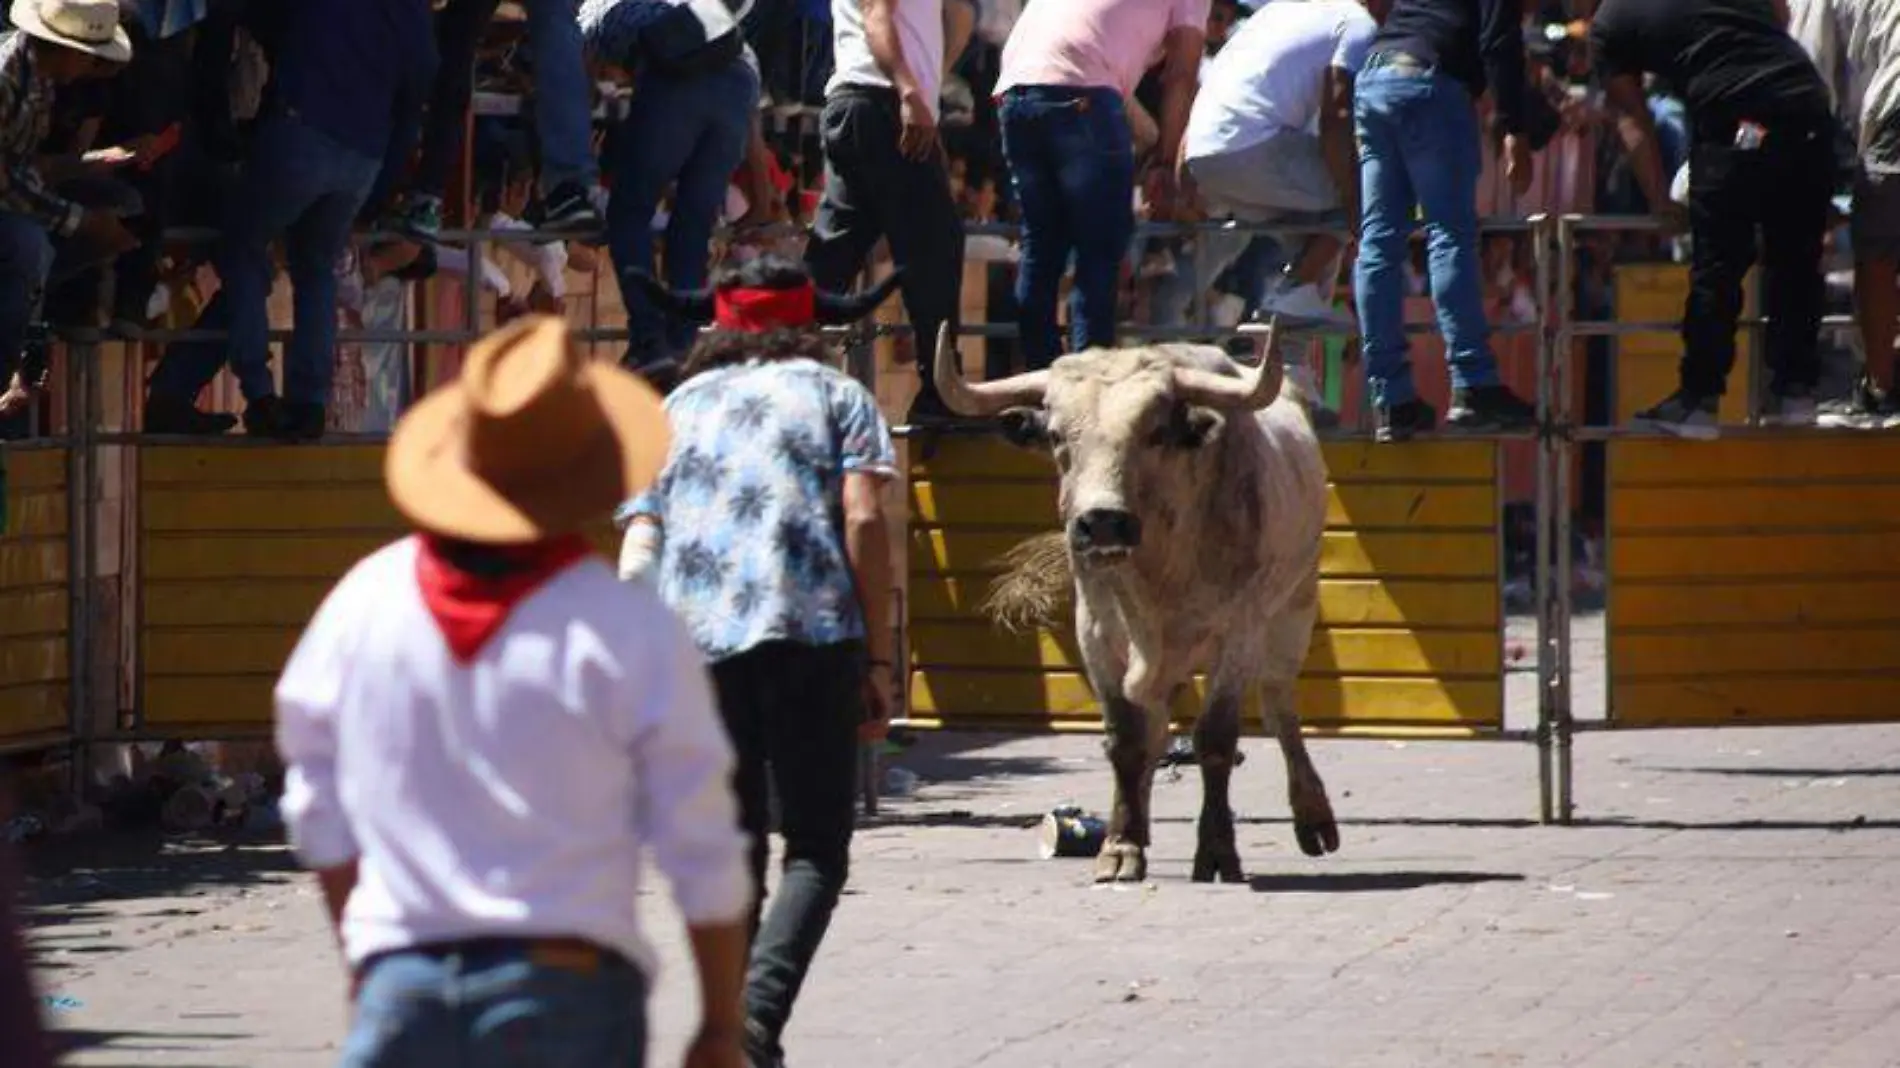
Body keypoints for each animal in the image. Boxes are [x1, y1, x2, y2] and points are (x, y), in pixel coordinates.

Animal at [934, 324, 1337, 881]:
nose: (1102, 522)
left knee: (1279, 707)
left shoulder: (1238, 633)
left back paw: (1313, 815)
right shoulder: (1096, 632)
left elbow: (1216, 738)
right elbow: (1127, 739)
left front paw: (1217, 851)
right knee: (1156, 729)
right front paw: (1121, 846)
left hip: (1293, 609)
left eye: (1155, 433)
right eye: (1056, 437)